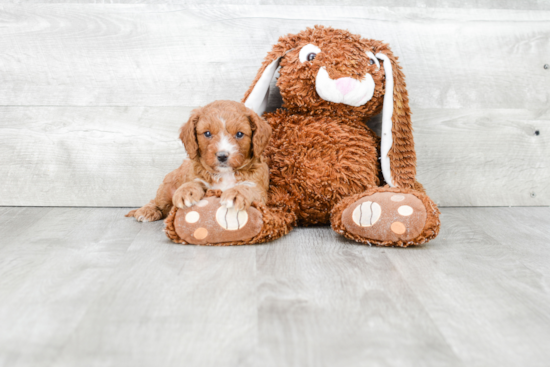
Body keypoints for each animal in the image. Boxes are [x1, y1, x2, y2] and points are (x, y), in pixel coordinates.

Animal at [125, 99, 272, 223]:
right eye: (207, 133)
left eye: (240, 134)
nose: (222, 156)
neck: (225, 173)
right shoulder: (196, 176)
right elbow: (192, 183)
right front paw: (185, 192)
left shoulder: (259, 189)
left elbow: (247, 187)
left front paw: (236, 194)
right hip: (166, 188)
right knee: (156, 201)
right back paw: (147, 211)